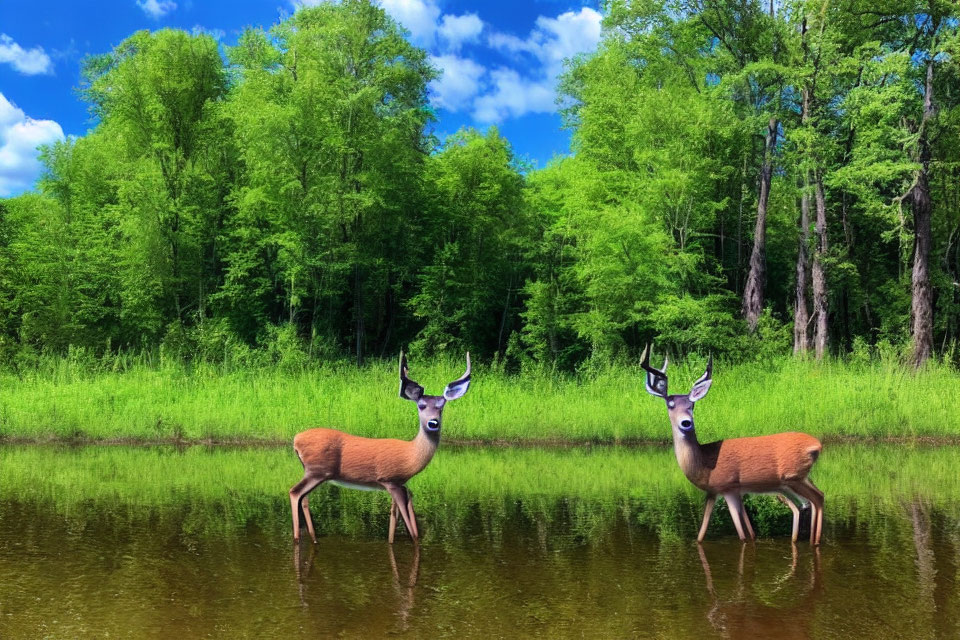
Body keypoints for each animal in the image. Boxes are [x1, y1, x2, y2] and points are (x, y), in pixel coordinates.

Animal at [292, 352, 472, 544]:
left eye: (441, 407)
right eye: (421, 406)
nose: (433, 423)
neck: (411, 455)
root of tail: (296, 440)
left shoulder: (401, 484)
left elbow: (396, 521)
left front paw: (392, 540)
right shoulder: (390, 480)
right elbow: (412, 532)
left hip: (314, 473)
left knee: (304, 499)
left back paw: (314, 539)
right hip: (317, 471)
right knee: (295, 493)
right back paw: (297, 538)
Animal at [640, 344, 820, 544]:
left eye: (692, 405)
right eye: (670, 404)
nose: (686, 422)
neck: (704, 462)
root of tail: (816, 445)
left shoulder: (729, 488)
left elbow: (744, 536)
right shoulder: (715, 492)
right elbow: (702, 535)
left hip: (792, 479)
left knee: (815, 500)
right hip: (795, 482)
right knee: (808, 503)